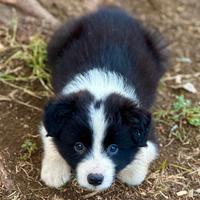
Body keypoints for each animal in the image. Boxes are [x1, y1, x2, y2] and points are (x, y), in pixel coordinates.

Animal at [39, 6, 168, 191]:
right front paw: (54, 172)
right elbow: (49, 137)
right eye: (79, 146)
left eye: (113, 148)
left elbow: (135, 172)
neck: (101, 85)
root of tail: (113, 10)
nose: (95, 179)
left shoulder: (148, 133)